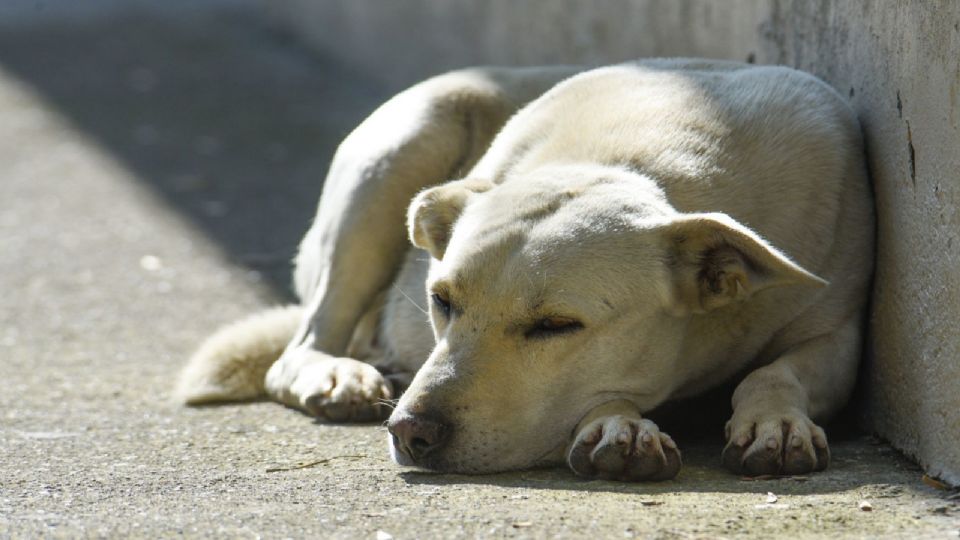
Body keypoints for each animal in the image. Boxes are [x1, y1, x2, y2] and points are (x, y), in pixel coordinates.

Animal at [176, 59, 872, 480]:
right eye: (442, 301)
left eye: (557, 326)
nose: (411, 431)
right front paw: (620, 425)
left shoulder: (837, 332)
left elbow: (778, 371)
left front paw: (775, 421)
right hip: (403, 145)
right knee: (300, 346)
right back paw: (338, 372)